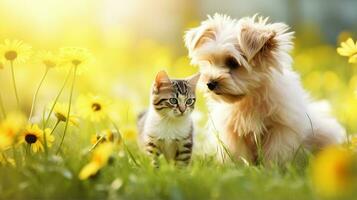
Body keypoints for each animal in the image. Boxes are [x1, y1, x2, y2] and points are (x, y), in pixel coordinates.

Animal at [184, 13, 344, 164]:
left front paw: (272, 169)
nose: (210, 83)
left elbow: (275, 153)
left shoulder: (281, 129)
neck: (250, 97)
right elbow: (239, 155)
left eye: (233, 62)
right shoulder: (233, 133)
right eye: (210, 62)